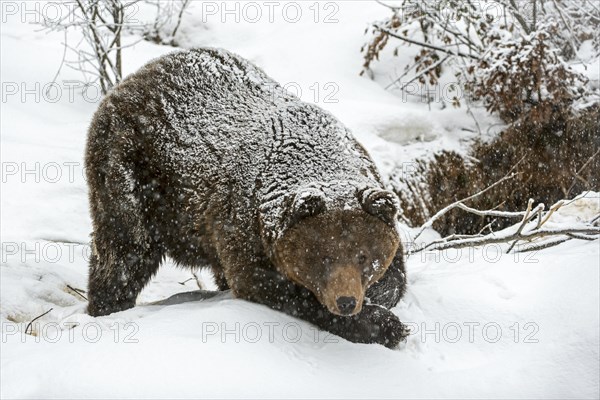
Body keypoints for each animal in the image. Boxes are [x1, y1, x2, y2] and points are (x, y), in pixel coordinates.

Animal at [86, 47, 410, 346]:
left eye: (363, 254)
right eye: (322, 256)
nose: (345, 301)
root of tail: (131, 78)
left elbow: (395, 279)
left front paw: (380, 305)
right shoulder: (244, 223)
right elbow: (271, 287)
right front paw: (384, 325)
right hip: (131, 170)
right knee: (126, 249)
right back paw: (107, 306)